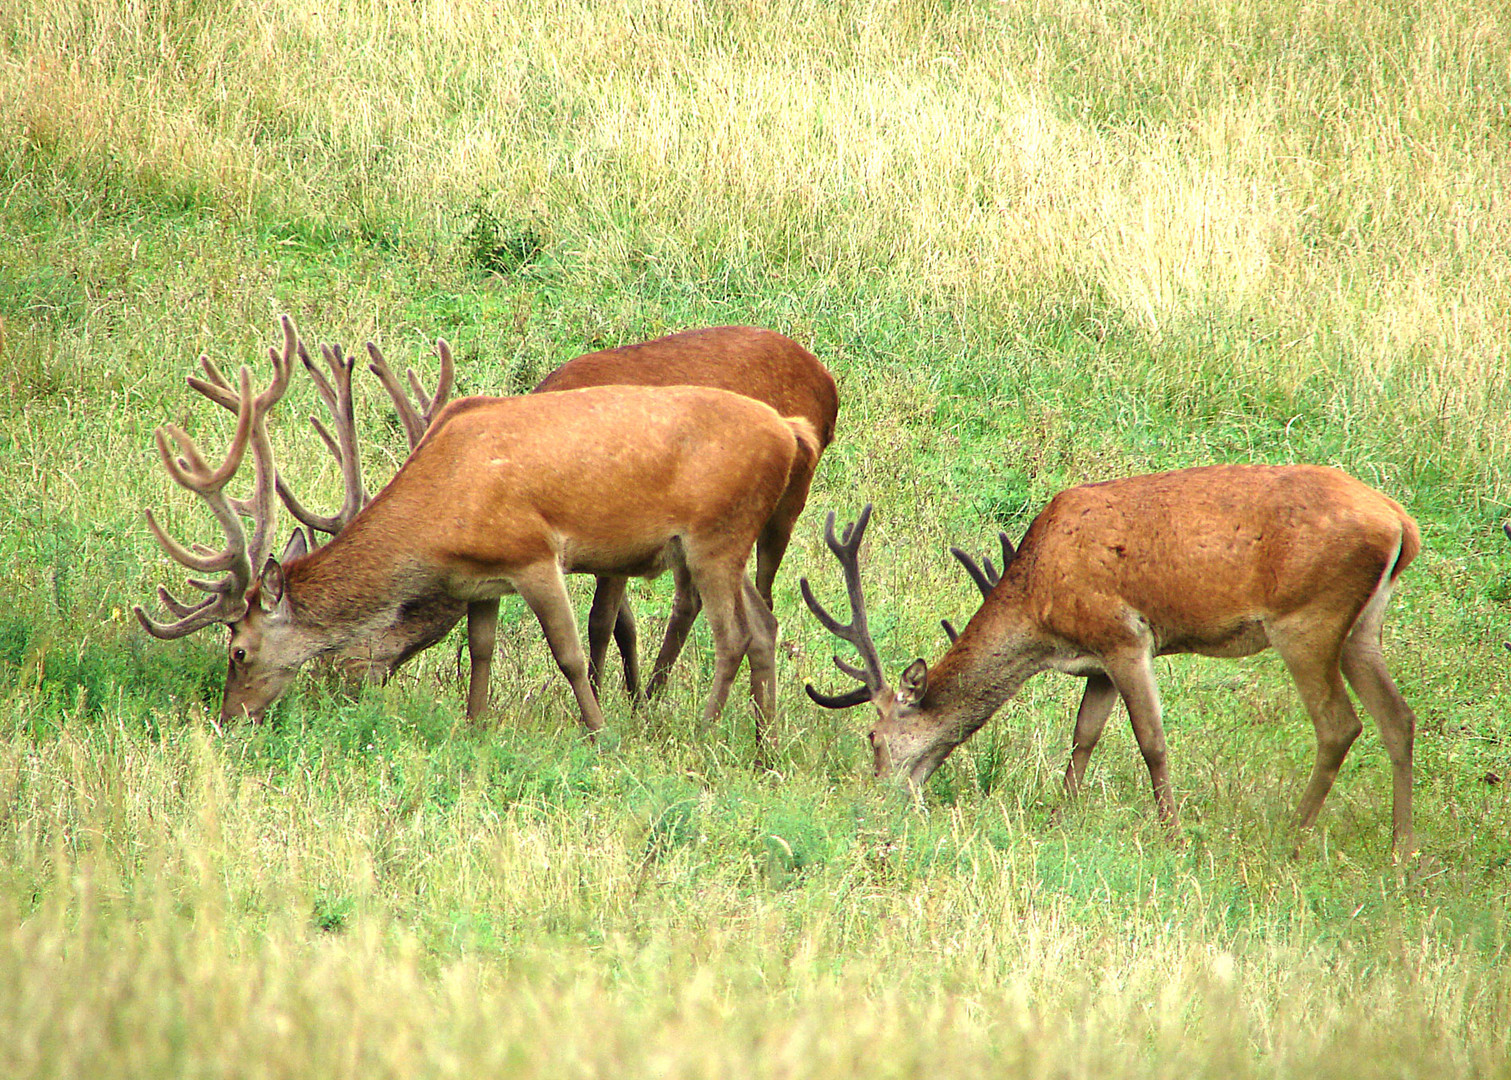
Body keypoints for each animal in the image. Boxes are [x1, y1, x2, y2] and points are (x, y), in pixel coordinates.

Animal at [139, 317, 828, 749]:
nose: (228, 719)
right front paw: (474, 728)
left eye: (238, 651)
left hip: (716, 536)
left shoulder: (533, 554)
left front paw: (600, 733)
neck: (443, 514)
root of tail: (790, 430)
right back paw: (763, 745)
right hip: (725, 543)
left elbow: (571, 651)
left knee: (732, 634)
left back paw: (704, 732)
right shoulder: (482, 581)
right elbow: (481, 651)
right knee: (765, 623)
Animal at [809, 468, 1420, 857]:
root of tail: (1401, 524)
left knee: (1339, 725)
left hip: (1307, 620)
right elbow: (1083, 736)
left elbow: (1151, 740)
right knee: (1399, 718)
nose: (879, 797)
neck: (1041, 608)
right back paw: (1400, 853)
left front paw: (1173, 837)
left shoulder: (1124, 637)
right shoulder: (1098, 661)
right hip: (1363, 628)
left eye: (872, 737)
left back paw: (1290, 839)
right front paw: (1057, 818)